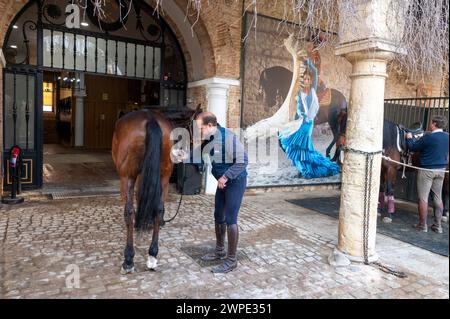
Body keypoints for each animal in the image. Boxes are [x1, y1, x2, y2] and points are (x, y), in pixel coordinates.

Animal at [112, 109, 174, 274]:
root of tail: (150, 118)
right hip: (165, 175)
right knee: (159, 209)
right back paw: (152, 256)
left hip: (127, 176)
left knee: (130, 211)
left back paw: (128, 260)